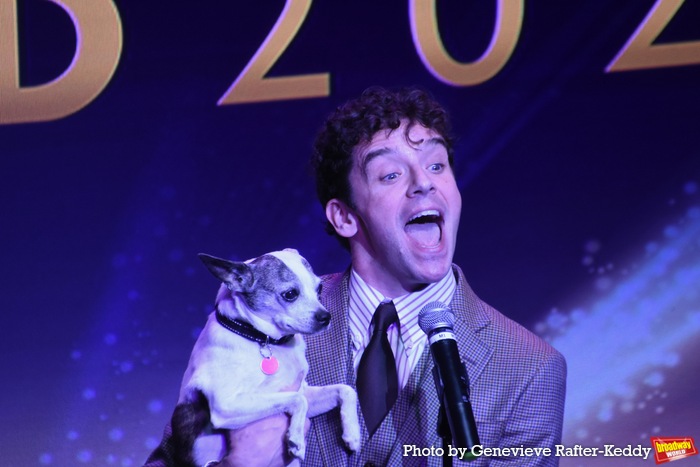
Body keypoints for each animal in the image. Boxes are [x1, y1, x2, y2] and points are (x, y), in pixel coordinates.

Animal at [170, 247, 360, 466]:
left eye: (319, 289)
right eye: (290, 294)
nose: (326, 317)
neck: (261, 339)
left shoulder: (304, 394)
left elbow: (346, 390)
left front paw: (353, 434)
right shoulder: (226, 405)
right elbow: (298, 400)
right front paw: (296, 439)